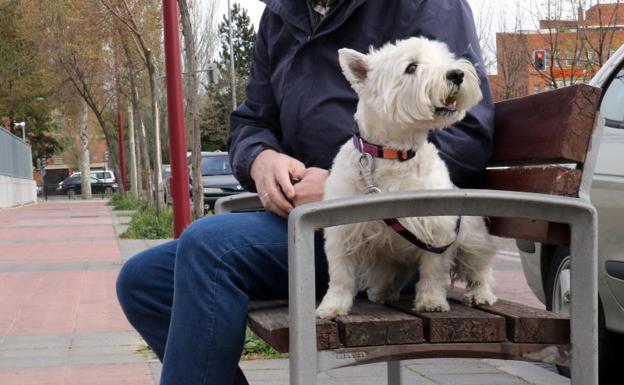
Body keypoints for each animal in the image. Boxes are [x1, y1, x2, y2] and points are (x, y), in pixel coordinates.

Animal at [316, 36, 498, 318]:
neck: (395, 154)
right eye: (411, 67)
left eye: (443, 57)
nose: (456, 74)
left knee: (480, 267)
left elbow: (433, 271)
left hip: (471, 238)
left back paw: (481, 294)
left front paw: (432, 301)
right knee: (393, 273)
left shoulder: (437, 231)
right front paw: (332, 306)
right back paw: (382, 292)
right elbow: (340, 274)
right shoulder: (343, 232)